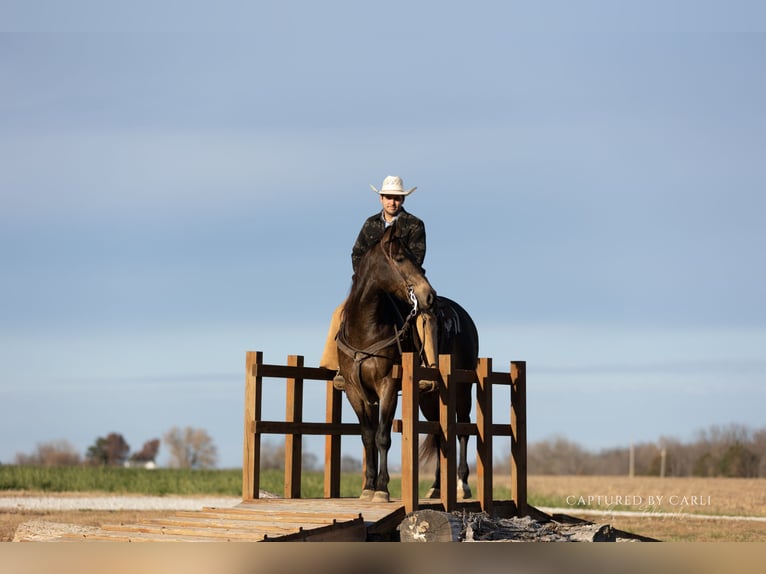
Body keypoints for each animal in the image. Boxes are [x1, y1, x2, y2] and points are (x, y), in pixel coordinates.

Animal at [335, 224, 479, 503]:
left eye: (416, 259)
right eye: (400, 258)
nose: (429, 296)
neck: (365, 330)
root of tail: (465, 317)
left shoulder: (388, 386)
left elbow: (382, 436)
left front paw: (382, 489)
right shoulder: (354, 391)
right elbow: (367, 436)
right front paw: (368, 487)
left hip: (463, 389)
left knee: (463, 429)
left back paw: (462, 485)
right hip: (429, 398)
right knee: (438, 431)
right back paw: (435, 487)